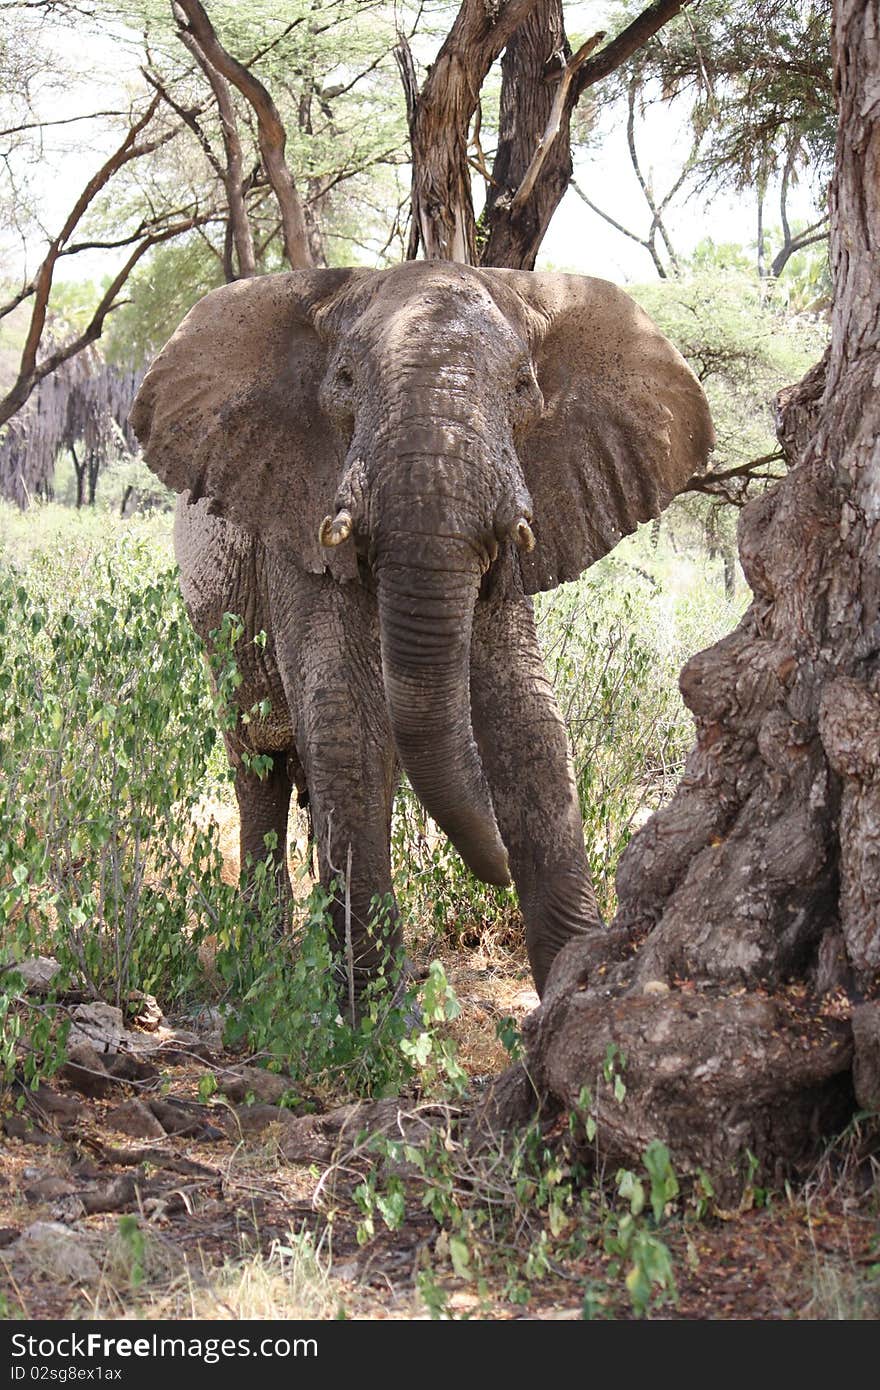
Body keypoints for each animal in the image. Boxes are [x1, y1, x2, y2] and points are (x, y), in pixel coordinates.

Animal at [130, 261, 711, 1000]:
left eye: (523, 386)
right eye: (345, 378)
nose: (494, 870)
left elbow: (528, 719)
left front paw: (570, 992)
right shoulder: (294, 522)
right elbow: (348, 724)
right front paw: (375, 1020)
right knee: (258, 765)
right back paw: (265, 964)